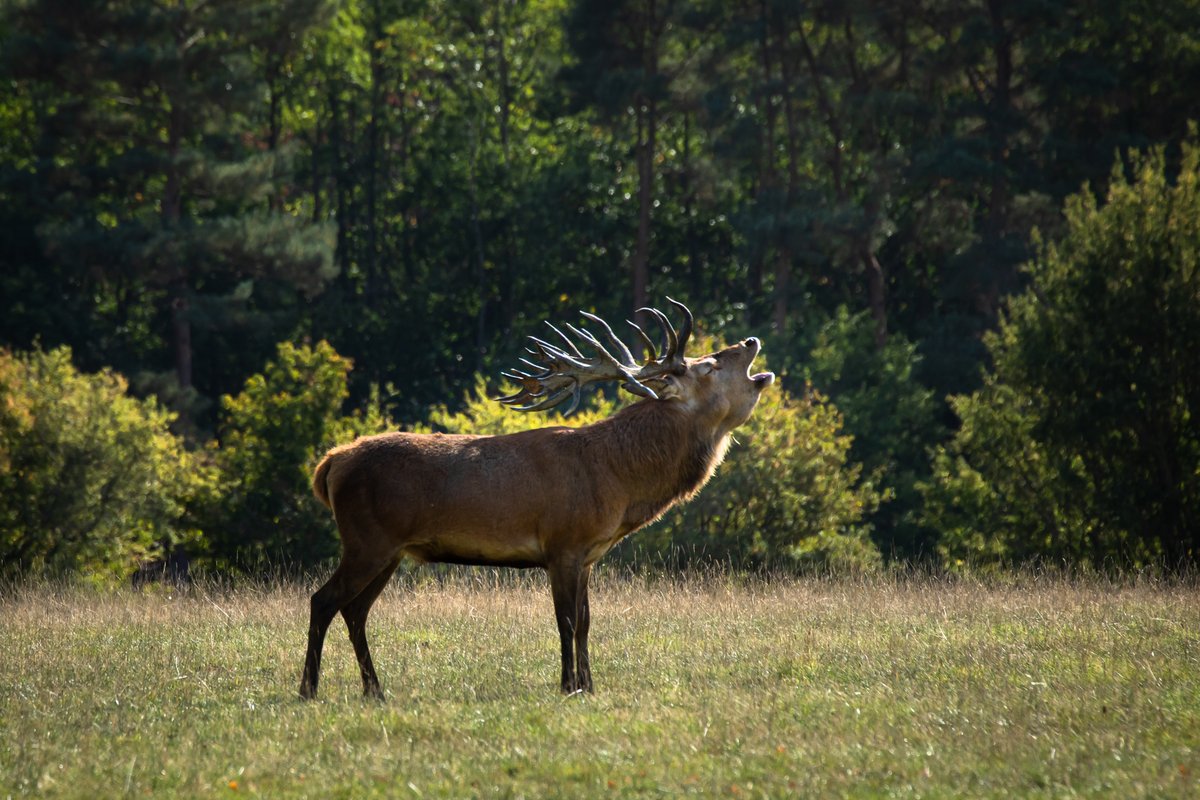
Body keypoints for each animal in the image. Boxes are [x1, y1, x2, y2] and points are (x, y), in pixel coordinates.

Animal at [299, 299, 775, 699]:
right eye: (708, 365)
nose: (751, 341)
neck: (618, 481)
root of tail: (330, 464)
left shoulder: (588, 554)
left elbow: (585, 623)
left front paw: (590, 685)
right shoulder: (562, 543)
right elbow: (565, 622)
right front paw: (568, 686)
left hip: (389, 550)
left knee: (355, 610)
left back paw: (374, 690)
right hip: (367, 540)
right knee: (323, 600)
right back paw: (309, 689)